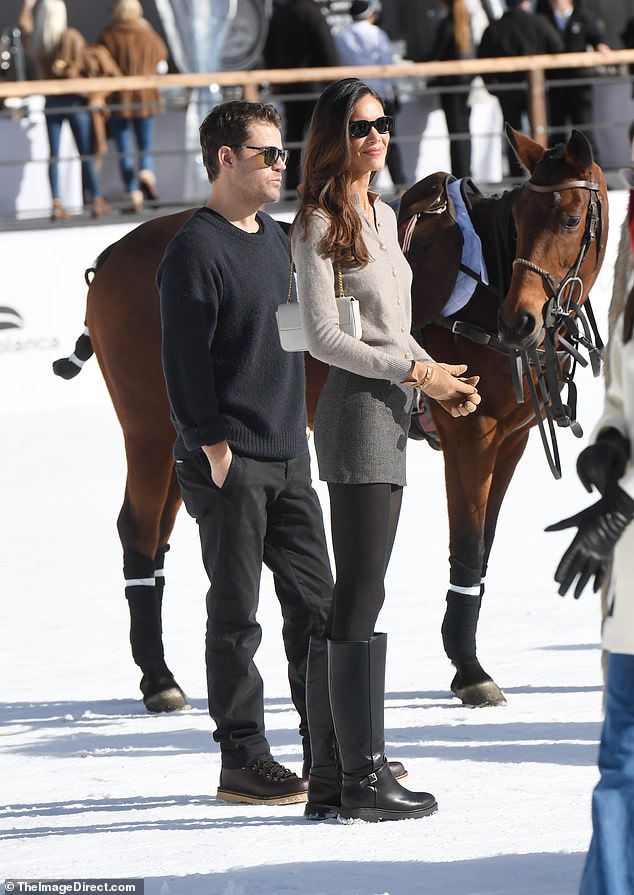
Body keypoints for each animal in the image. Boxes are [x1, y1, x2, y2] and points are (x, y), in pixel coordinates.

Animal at [55, 128, 608, 712]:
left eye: (570, 219)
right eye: (523, 218)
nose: (519, 320)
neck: (483, 289)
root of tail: (111, 257)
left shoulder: (510, 442)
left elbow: (483, 552)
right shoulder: (471, 439)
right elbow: (468, 546)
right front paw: (469, 668)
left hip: (181, 440)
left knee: (154, 535)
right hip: (149, 430)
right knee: (138, 533)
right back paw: (159, 679)